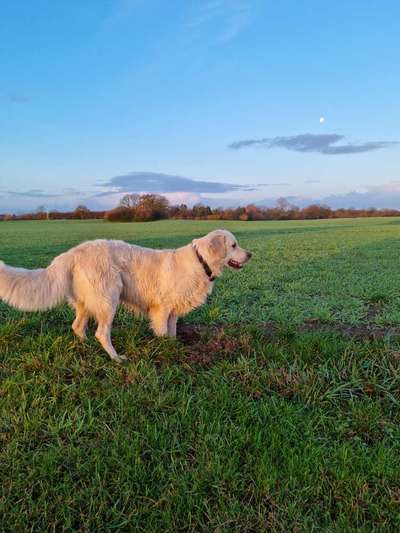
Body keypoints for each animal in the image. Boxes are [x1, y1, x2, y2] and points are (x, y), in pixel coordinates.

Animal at [0, 230, 250, 362]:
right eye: (234, 245)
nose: (250, 254)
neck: (201, 262)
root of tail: (71, 253)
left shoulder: (173, 311)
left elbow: (172, 332)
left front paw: (173, 346)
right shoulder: (162, 309)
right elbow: (162, 333)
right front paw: (164, 351)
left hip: (87, 303)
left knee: (77, 326)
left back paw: (86, 346)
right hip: (108, 300)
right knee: (102, 333)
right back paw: (116, 358)